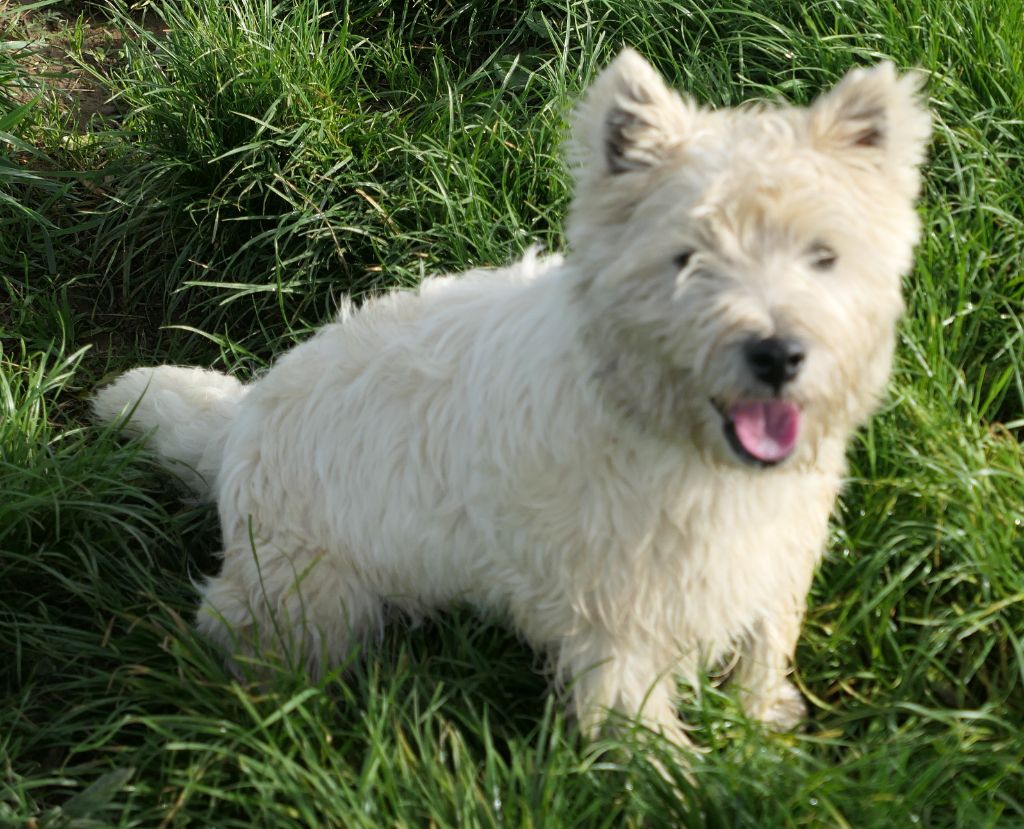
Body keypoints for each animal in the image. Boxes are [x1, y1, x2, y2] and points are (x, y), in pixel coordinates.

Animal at [94, 51, 929, 749]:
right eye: (687, 257)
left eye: (823, 255)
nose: (778, 354)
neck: (680, 445)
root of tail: (243, 416)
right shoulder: (615, 624)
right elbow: (648, 736)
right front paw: (702, 782)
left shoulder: (775, 555)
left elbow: (767, 641)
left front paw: (762, 722)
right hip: (307, 597)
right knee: (237, 627)